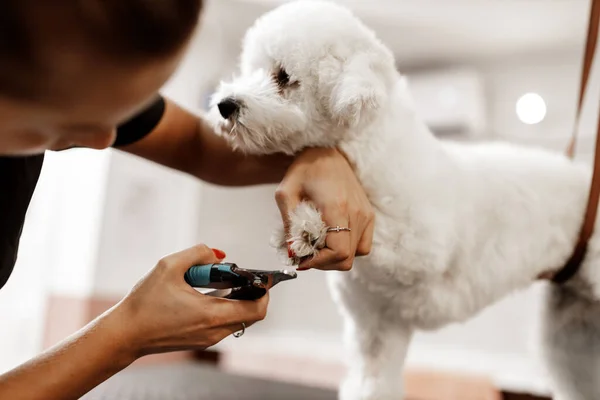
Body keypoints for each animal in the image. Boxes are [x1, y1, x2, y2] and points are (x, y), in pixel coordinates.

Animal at [209, 1, 600, 398]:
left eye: (284, 76)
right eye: (251, 69)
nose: (224, 105)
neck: (376, 156)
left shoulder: (420, 248)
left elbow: (376, 229)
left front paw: (307, 228)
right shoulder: (376, 329)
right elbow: (371, 382)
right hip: (573, 332)